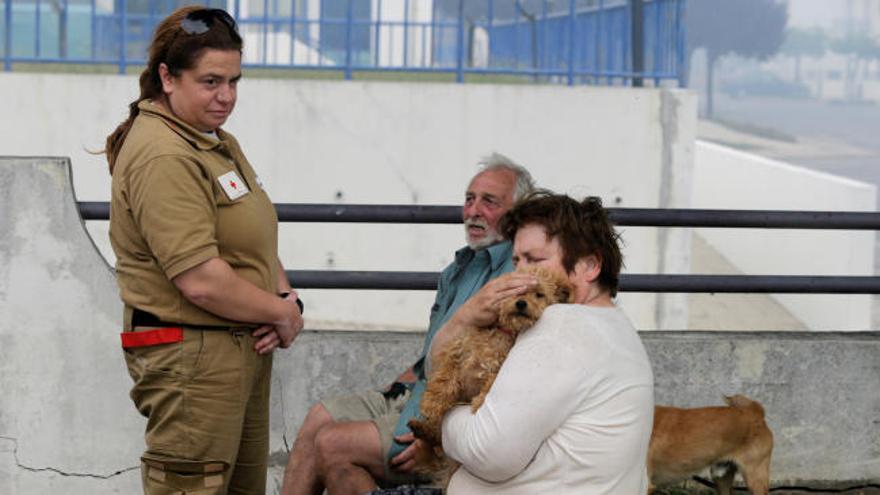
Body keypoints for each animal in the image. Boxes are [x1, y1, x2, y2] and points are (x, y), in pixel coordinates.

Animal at [410, 268, 576, 458]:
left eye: (539, 294)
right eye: (514, 290)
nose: (521, 303)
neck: (501, 333)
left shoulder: (499, 369)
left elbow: (489, 385)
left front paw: (478, 404)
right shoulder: (456, 351)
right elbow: (444, 380)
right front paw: (432, 404)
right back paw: (421, 428)